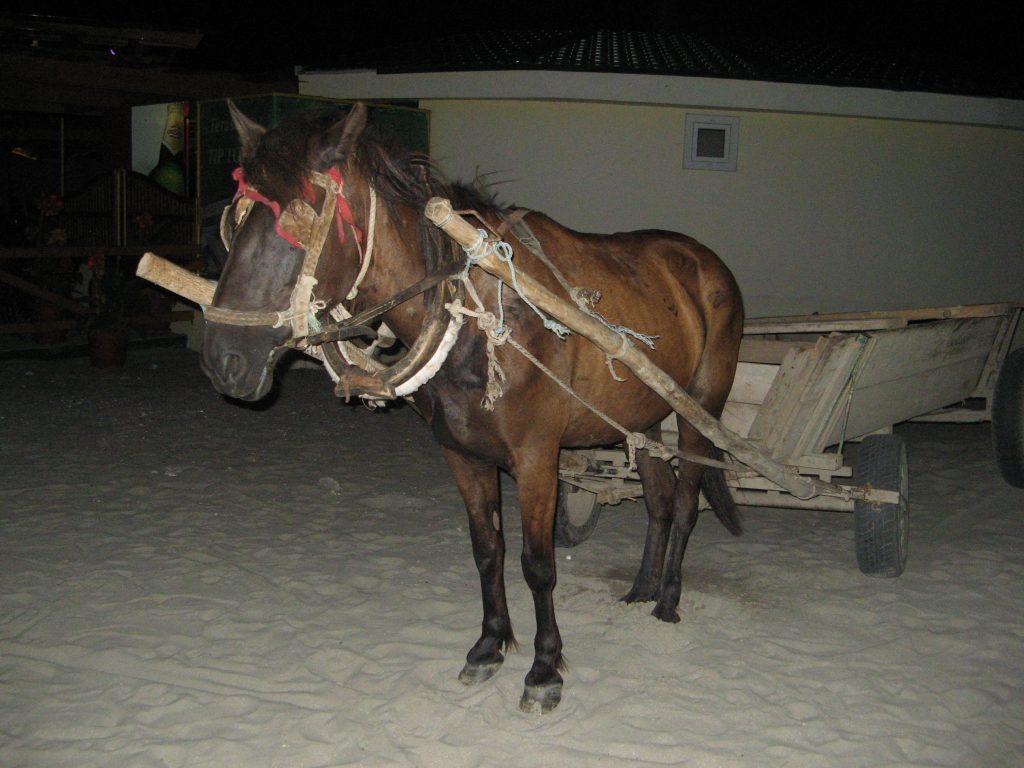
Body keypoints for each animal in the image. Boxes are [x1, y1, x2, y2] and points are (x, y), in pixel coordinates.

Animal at [201, 100, 745, 716]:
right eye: (234, 220)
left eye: (298, 221)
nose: (224, 359)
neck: (475, 310)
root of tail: (702, 261)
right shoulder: (461, 454)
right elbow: (488, 550)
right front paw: (489, 646)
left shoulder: (536, 458)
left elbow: (538, 564)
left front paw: (544, 668)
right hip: (643, 415)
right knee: (657, 500)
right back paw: (641, 589)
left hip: (699, 410)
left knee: (685, 503)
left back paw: (668, 599)